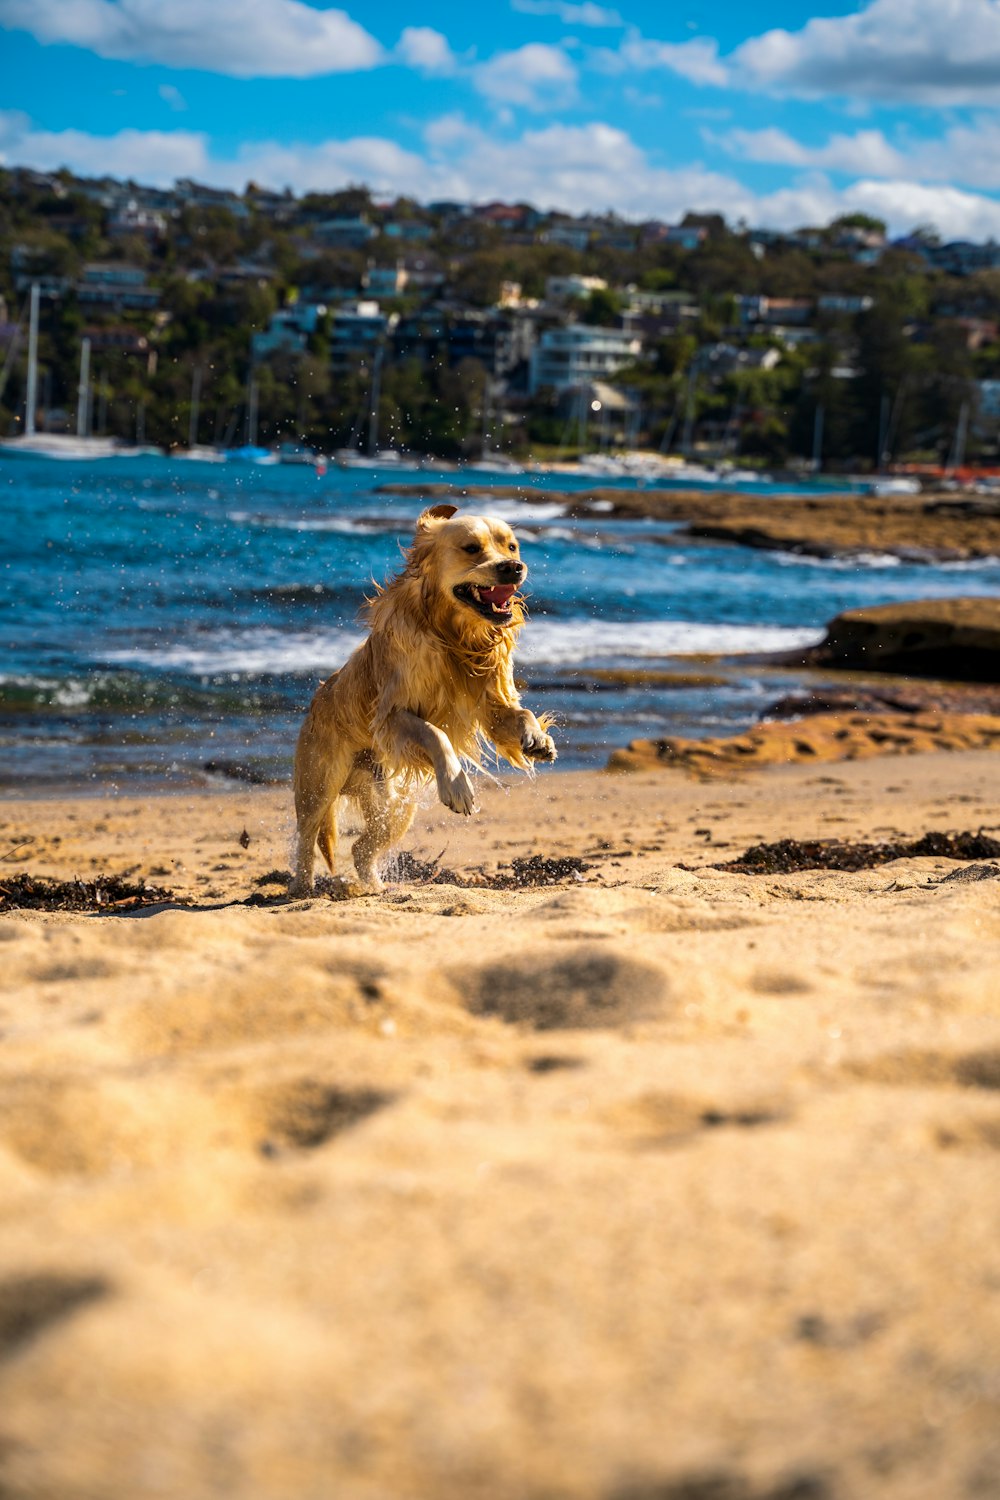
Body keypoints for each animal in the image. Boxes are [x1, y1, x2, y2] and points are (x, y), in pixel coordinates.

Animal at [290, 510, 554, 894]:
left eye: (512, 546)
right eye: (471, 548)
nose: (514, 567)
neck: (454, 636)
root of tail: (315, 700)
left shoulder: (491, 704)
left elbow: (520, 712)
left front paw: (536, 738)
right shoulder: (390, 716)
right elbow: (434, 733)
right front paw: (458, 785)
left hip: (397, 805)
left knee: (360, 848)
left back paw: (377, 888)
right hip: (320, 784)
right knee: (307, 838)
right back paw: (302, 888)